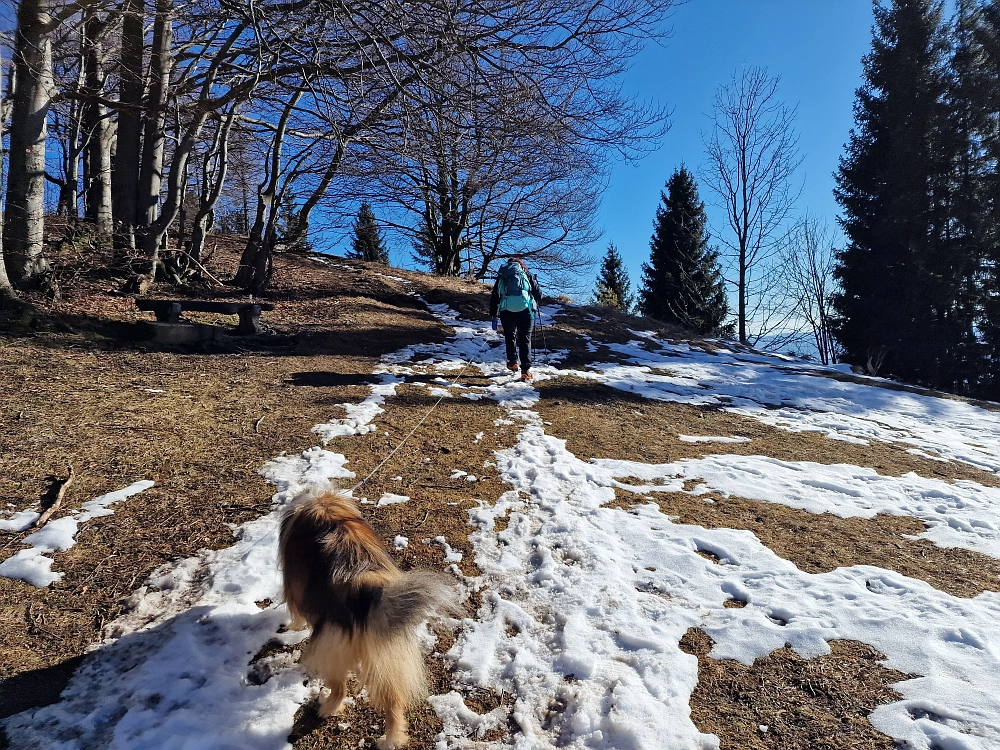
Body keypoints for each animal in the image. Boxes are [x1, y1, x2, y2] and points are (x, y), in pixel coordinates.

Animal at [278, 490, 458, 748]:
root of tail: (365, 588)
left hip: (331, 649)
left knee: (339, 689)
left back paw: (326, 705)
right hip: (389, 655)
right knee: (394, 703)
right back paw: (391, 740)